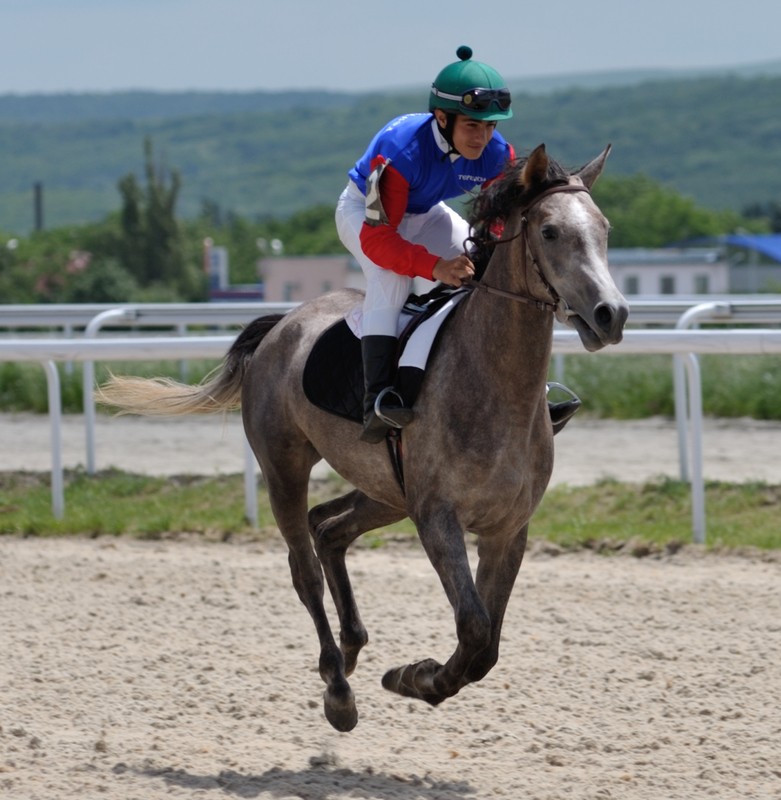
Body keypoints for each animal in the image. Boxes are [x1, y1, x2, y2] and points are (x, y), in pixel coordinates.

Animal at [97, 144, 632, 732]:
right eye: (551, 232)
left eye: (604, 228)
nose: (611, 314)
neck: (497, 386)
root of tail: (282, 325)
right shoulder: (437, 517)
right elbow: (472, 628)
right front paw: (415, 677)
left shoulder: (508, 526)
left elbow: (486, 645)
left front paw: (415, 675)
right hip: (285, 467)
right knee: (304, 567)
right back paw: (337, 686)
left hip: (387, 491)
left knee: (329, 529)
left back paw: (352, 646)